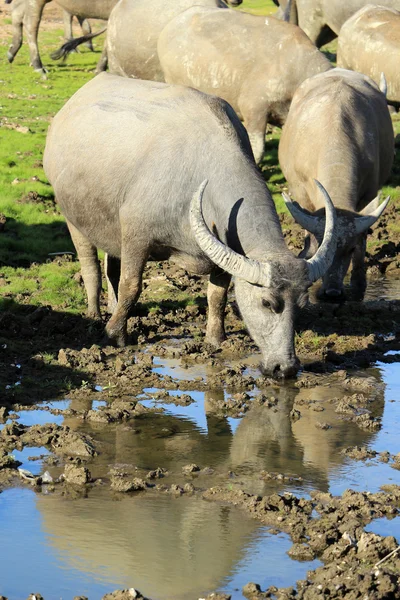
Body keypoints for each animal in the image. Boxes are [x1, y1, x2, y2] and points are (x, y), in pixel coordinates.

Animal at [43, 72, 338, 378]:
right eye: (268, 302)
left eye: (301, 304)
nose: (286, 367)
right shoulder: (137, 236)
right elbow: (131, 286)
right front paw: (116, 334)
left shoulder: (222, 249)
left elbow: (217, 296)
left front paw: (216, 338)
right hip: (73, 219)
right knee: (90, 267)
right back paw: (95, 313)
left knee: (110, 266)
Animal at [276, 69, 392, 300]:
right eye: (322, 249)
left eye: (349, 250)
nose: (332, 293)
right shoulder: (301, 192)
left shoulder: (370, 192)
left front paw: (358, 283)